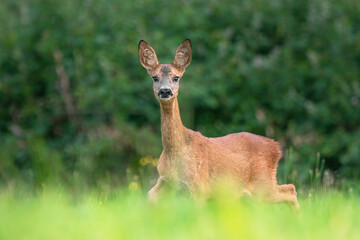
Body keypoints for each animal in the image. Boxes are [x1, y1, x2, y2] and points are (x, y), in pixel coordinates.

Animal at [139, 38, 300, 208]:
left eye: (176, 77)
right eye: (154, 77)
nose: (165, 91)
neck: (176, 150)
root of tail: (276, 147)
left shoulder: (200, 187)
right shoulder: (165, 180)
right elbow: (150, 197)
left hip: (262, 186)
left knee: (290, 189)